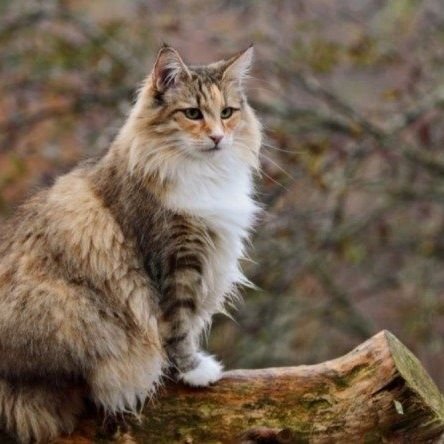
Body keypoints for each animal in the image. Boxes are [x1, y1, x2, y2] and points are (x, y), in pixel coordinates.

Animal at [0, 43, 260, 442]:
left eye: (227, 113)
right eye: (193, 113)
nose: (218, 137)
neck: (203, 174)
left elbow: (186, 324)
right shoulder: (173, 260)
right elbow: (178, 327)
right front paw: (194, 370)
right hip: (68, 307)